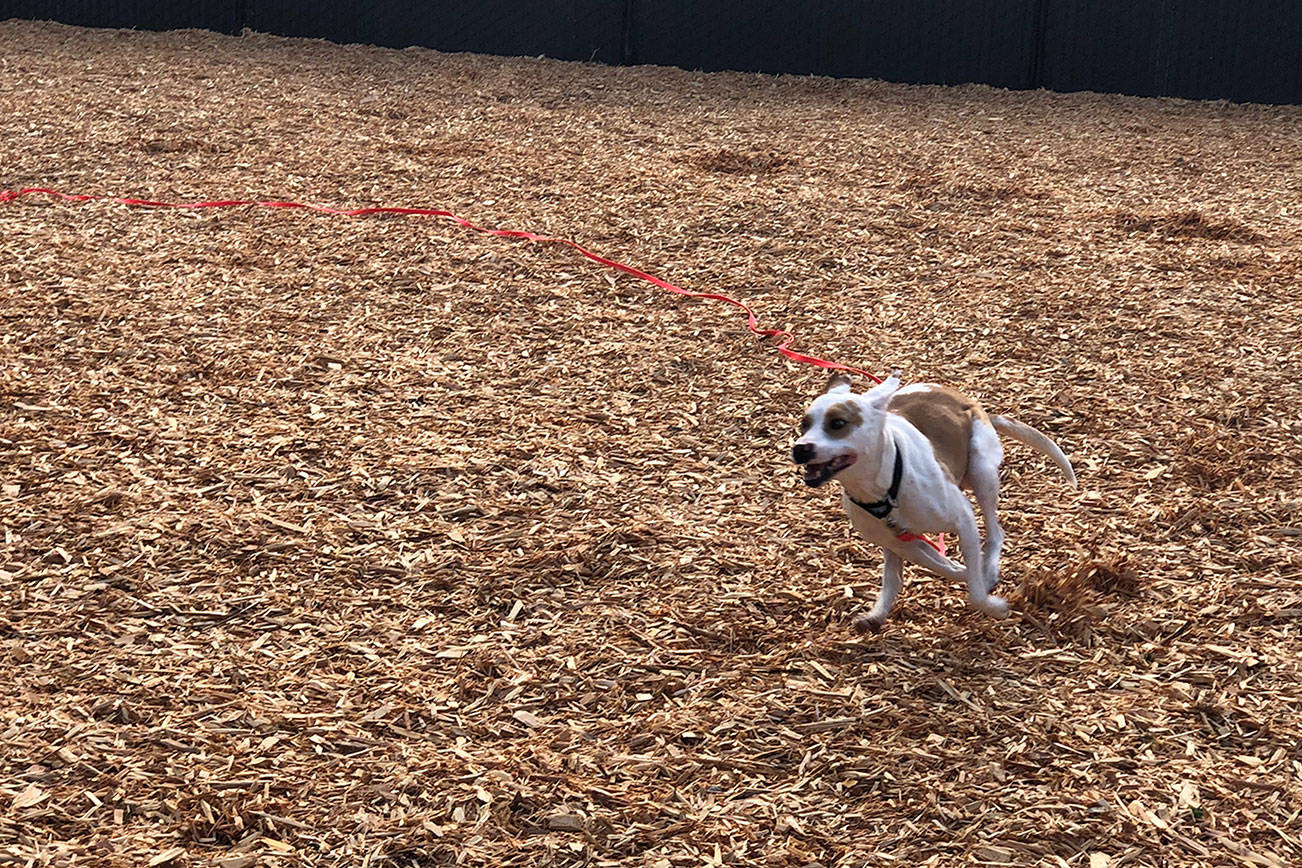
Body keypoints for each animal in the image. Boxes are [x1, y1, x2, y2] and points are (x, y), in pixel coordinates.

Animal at [791, 369, 1078, 632]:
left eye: (838, 423)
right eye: (804, 424)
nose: (800, 448)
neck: (885, 488)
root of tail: (968, 400)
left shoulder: (963, 519)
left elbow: (974, 590)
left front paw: (994, 605)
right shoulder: (902, 541)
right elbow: (939, 567)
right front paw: (969, 575)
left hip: (982, 473)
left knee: (996, 532)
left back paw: (990, 566)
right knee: (895, 577)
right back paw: (878, 614)